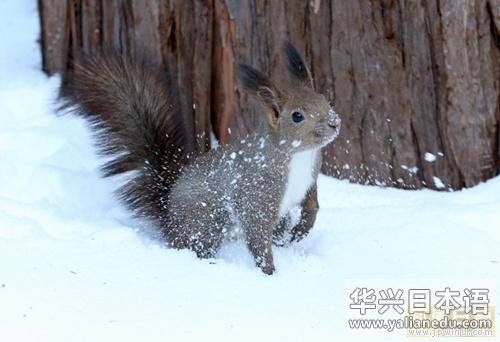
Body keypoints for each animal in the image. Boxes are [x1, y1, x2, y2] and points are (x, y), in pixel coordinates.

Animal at [57, 42, 340, 276]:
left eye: (326, 101)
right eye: (297, 116)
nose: (334, 122)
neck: (299, 155)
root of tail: (169, 221)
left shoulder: (310, 178)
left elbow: (312, 205)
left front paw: (301, 230)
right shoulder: (256, 190)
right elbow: (256, 233)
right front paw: (269, 272)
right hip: (207, 221)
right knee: (200, 244)